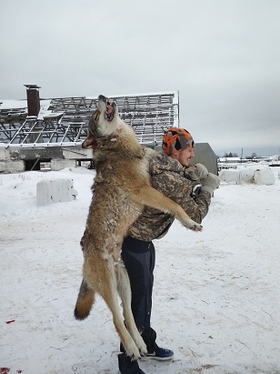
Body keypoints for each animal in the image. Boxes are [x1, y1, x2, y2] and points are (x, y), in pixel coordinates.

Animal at [73, 94, 202, 360]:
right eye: (95, 114)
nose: (101, 96)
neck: (120, 145)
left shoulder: (150, 163)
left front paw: (195, 172)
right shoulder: (144, 190)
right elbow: (175, 204)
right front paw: (192, 223)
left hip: (125, 283)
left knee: (128, 315)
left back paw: (141, 345)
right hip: (110, 286)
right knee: (116, 319)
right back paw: (132, 349)